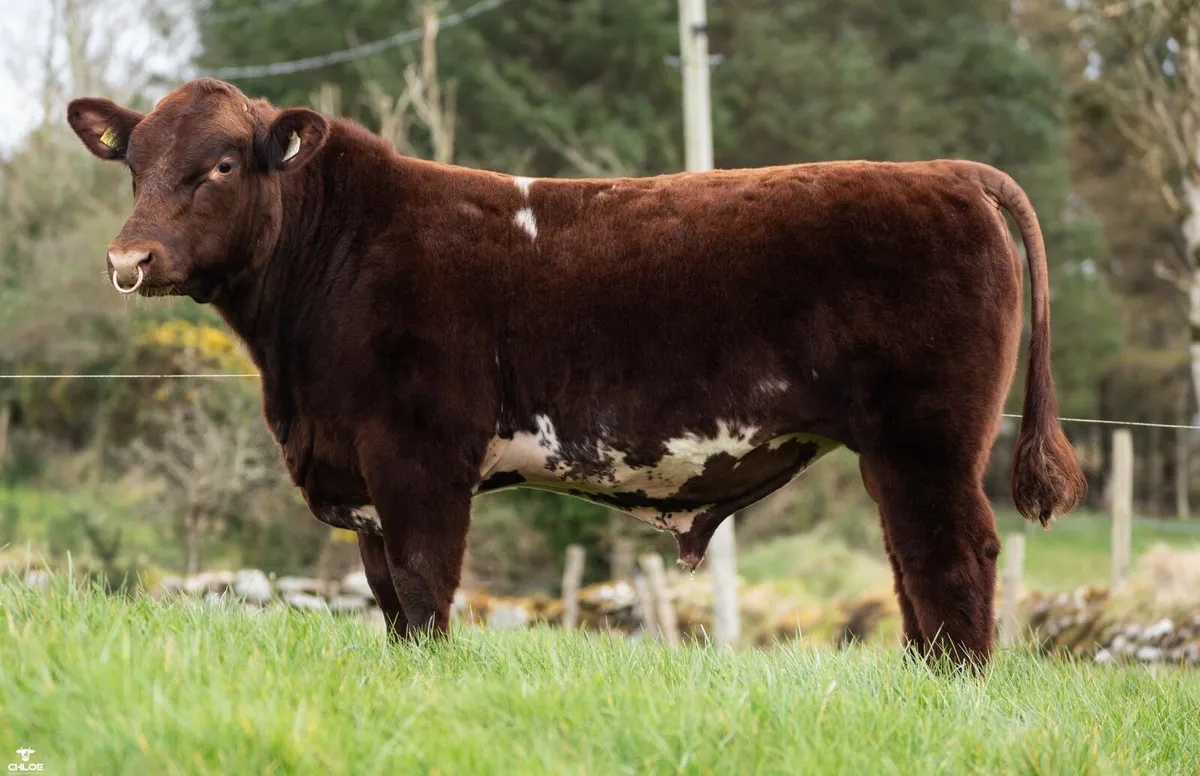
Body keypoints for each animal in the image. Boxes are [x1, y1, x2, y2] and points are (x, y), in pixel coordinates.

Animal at [67, 77, 1086, 668]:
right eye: (135, 165)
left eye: (221, 164)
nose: (127, 260)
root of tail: (943, 171)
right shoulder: (360, 468)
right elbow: (387, 596)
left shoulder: (418, 453)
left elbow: (425, 587)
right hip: (903, 450)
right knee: (913, 564)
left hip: (928, 438)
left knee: (954, 554)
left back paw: (951, 683)